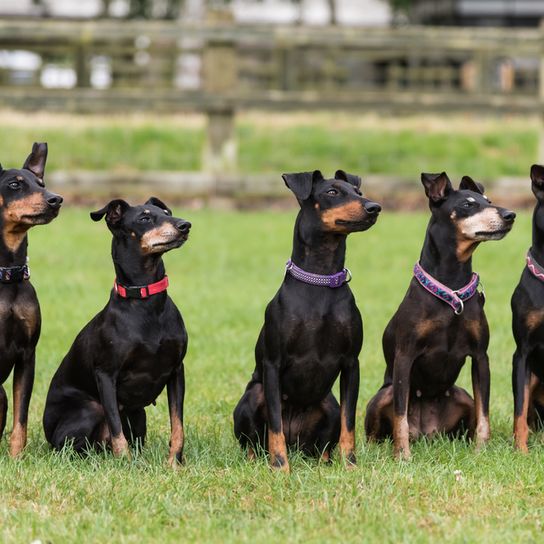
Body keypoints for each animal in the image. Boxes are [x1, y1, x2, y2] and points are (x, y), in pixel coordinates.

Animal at [43, 198, 191, 466]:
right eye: (144, 218)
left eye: (166, 212)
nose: (185, 225)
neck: (145, 302)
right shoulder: (106, 374)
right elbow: (115, 428)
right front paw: (126, 464)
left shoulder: (177, 370)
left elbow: (178, 425)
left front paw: (174, 463)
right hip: (89, 410)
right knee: (69, 448)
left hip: (138, 414)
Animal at [232, 170, 380, 472]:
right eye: (332, 192)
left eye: (358, 192)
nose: (374, 207)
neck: (320, 280)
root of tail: (295, 441)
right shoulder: (273, 364)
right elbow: (275, 425)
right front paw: (280, 467)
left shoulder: (351, 363)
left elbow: (349, 423)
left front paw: (350, 465)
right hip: (252, 397)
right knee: (255, 443)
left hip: (329, 405)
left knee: (323, 445)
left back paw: (326, 462)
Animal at [366, 173, 516, 460]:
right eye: (468, 204)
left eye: (489, 201)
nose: (510, 214)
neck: (451, 287)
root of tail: (426, 432)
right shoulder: (405, 356)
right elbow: (400, 416)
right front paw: (403, 456)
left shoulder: (481, 357)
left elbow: (484, 413)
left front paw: (481, 451)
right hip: (382, 396)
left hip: (461, 396)